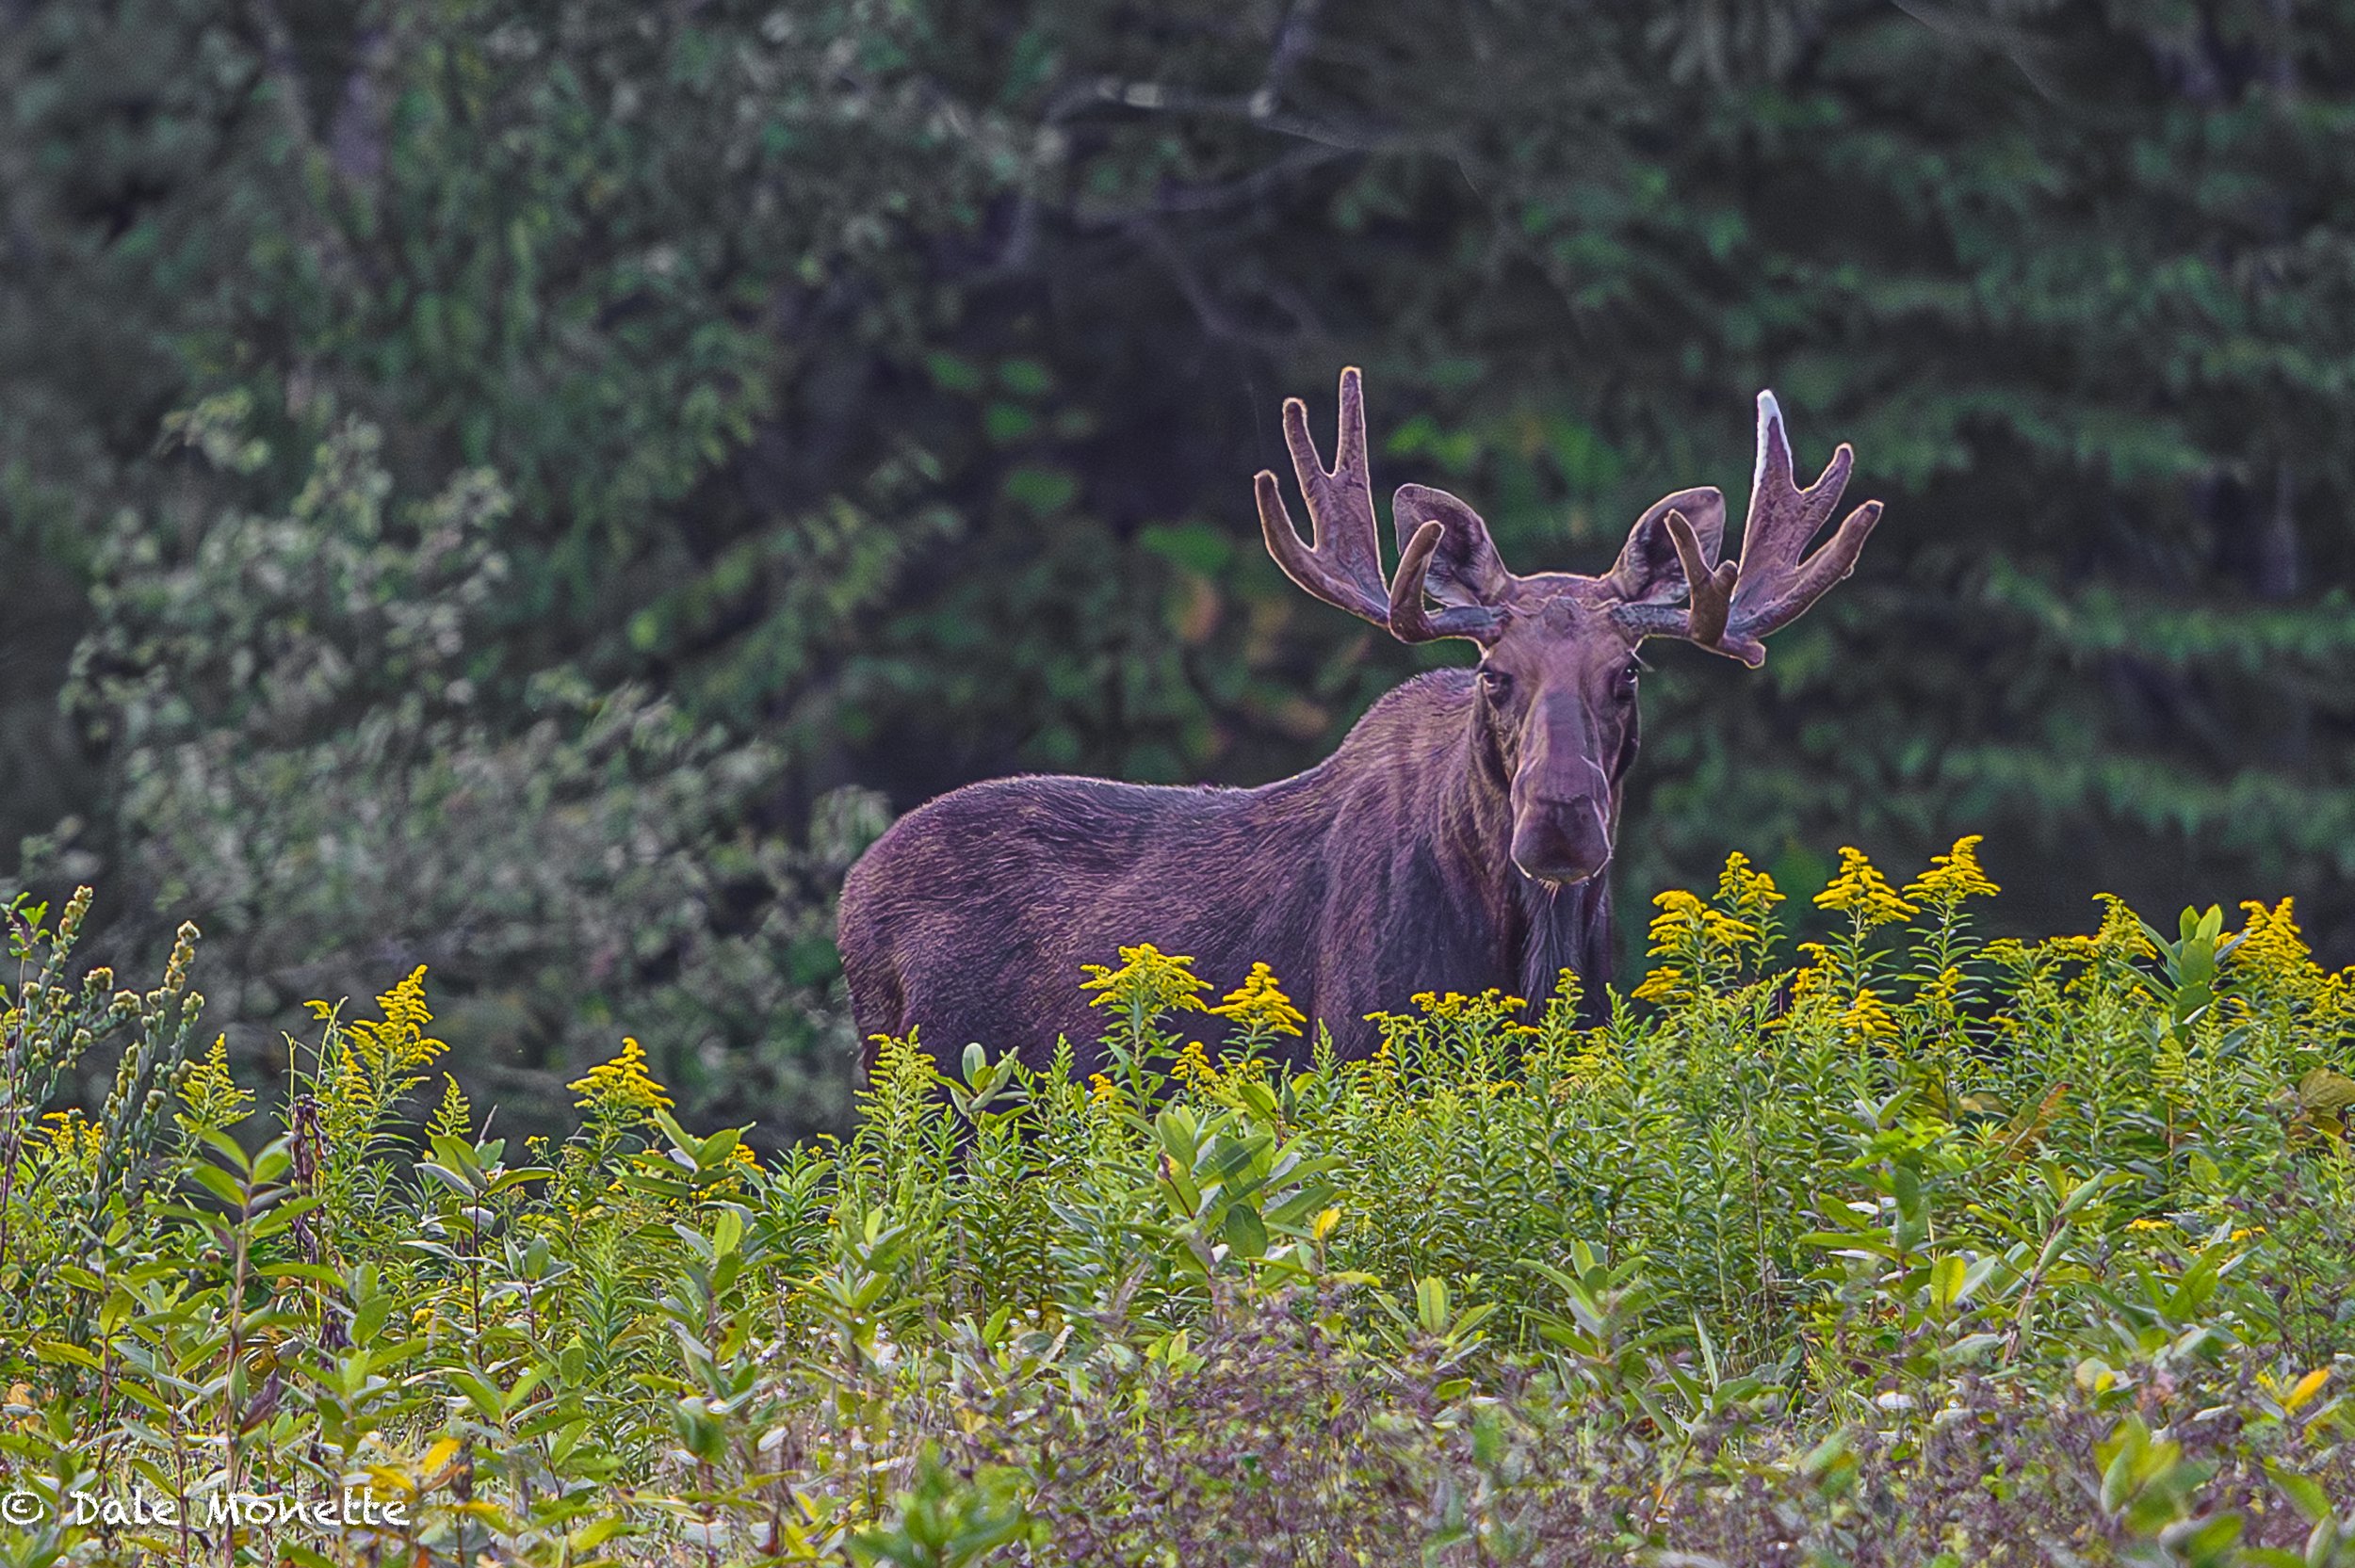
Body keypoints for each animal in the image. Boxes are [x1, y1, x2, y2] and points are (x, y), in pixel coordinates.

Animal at [838, 372, 1884, 1069]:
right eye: (1493, 674)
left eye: (1626, 673)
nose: (1559, 818)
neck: (1523, 951)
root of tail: (851, 898)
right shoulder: (1355, 1050)